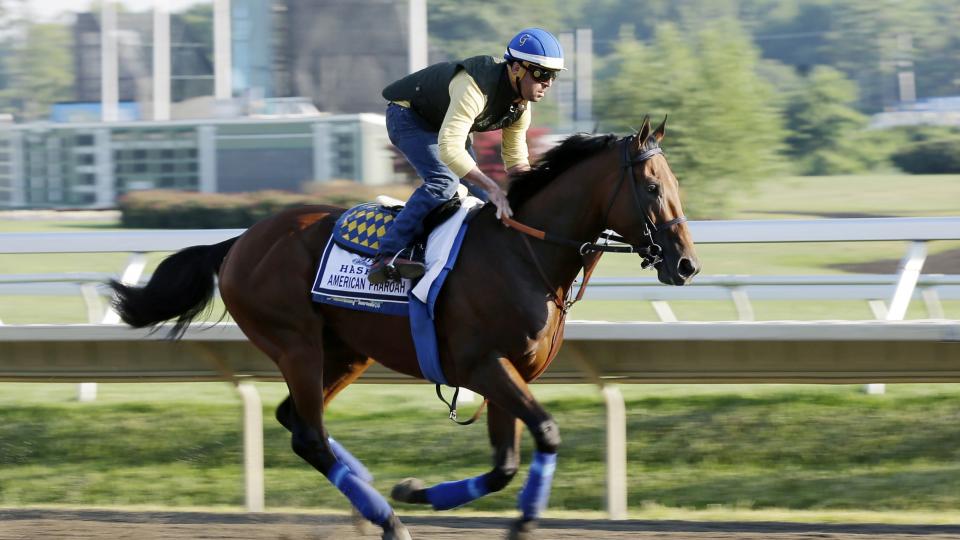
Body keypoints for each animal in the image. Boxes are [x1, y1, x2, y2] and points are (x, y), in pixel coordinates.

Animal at [110, 116, 696, 536]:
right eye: (650, 188)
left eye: (674, 184)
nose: (686, 264)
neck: (524, 253)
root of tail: (238, 242)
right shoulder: (485, 366)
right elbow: (546, 433)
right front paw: (521, 522)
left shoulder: (510, 374)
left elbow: (505, 464)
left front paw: (417, 491)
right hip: (296, 345)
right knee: (310, 437)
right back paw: (387, 522)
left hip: (346, 352)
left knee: (296, 421)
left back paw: (368, 492)